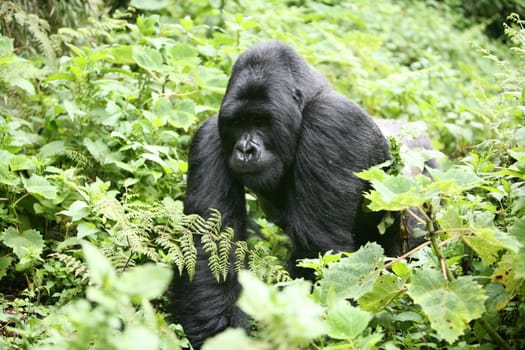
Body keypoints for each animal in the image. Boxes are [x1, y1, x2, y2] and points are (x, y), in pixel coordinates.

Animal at [170, 40, 428, 348]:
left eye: (262, 122)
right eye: (237, 123)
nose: (245, 150)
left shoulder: (331, 123)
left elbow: (319, 252)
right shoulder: (209, 136)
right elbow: (211, 248)